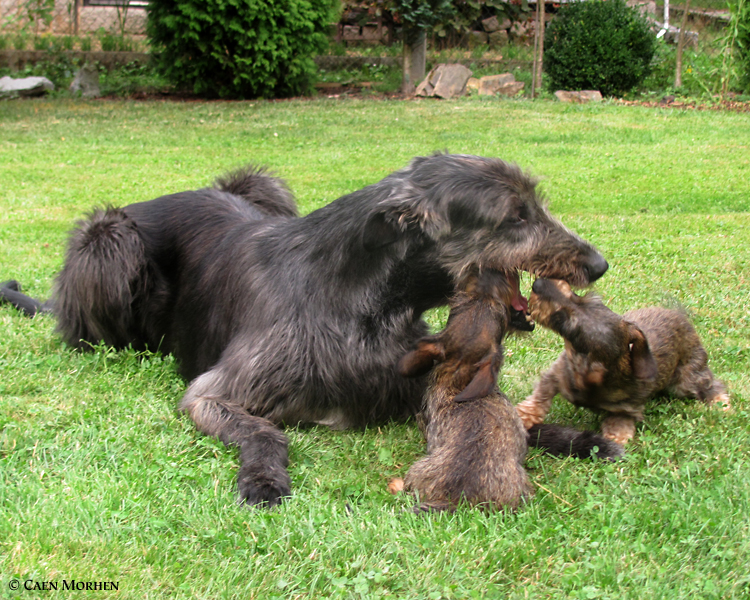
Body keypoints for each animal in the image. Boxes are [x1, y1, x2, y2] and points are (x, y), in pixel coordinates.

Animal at [1, 154, 612, 506]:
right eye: (515, 216)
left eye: (534, 204)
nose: (599, 264)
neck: (358, 300)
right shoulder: (211, 393)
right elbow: (264, 430)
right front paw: (263, 479)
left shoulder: (420, 371)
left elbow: (502, 415)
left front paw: (576, 437)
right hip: (109, 243)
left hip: (263, 185)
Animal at [516, 278, 732, 442]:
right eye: (582, 297)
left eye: (562, 320)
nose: (538, 283)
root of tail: (681, 316)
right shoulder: (556, 375)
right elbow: (540, 397)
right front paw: (524, 415)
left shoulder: (627, 407)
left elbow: (619, 421)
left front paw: (616, 439)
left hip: (686, 379)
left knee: (712, 384)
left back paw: (721, 404)